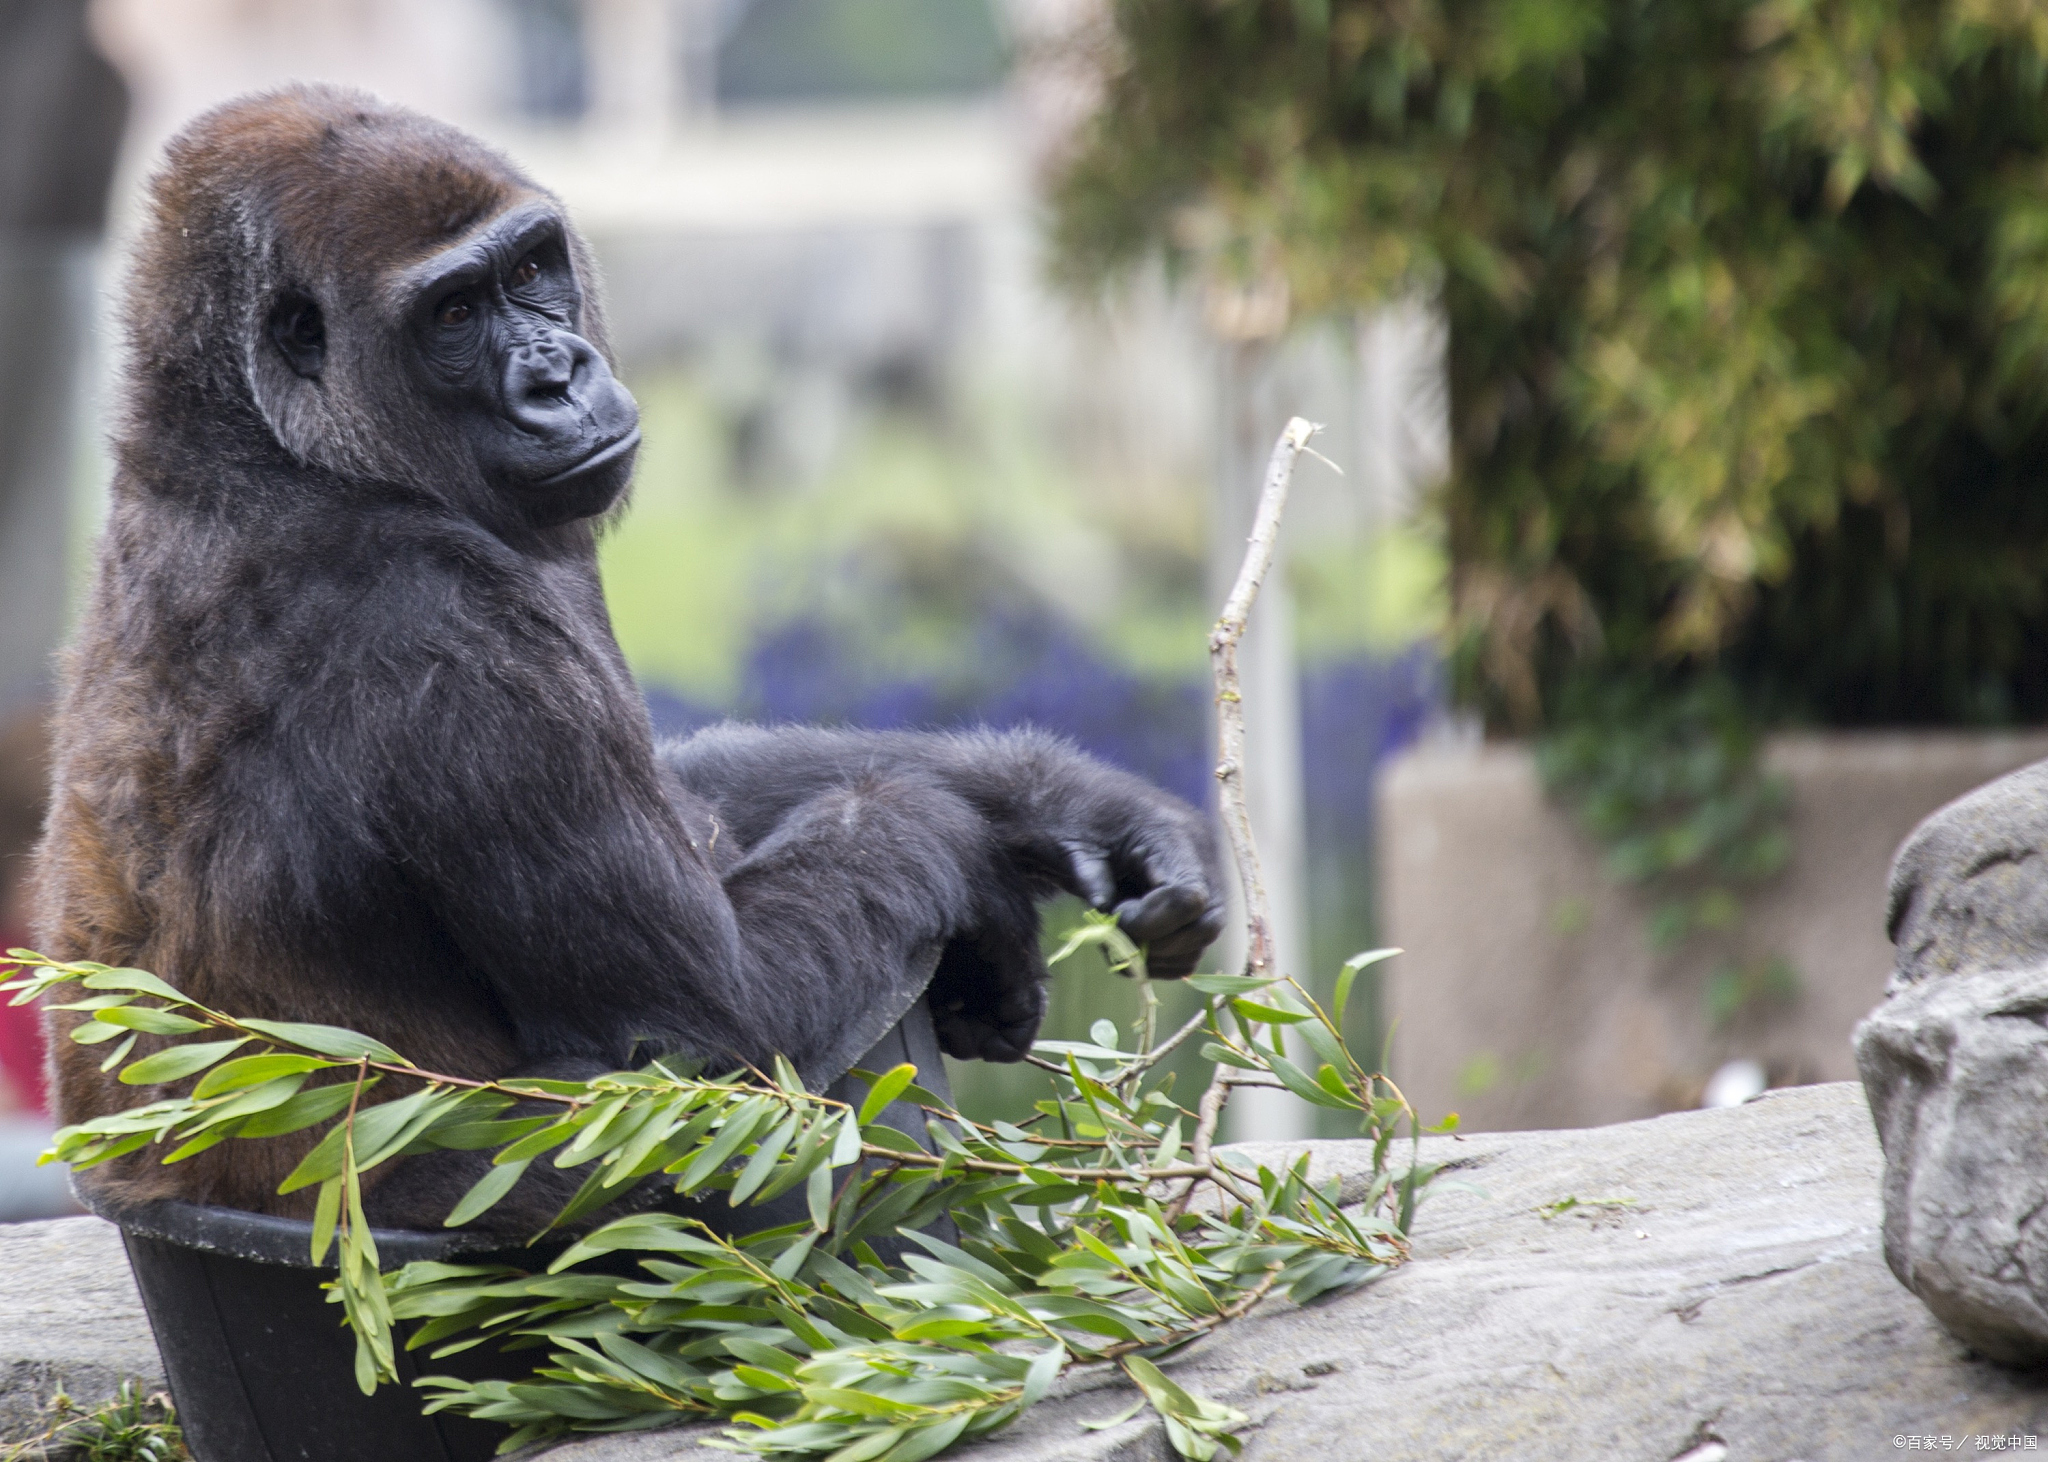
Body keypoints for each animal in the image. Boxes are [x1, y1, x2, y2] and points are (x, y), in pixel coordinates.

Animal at [32, 85, 1220, 1236]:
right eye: (452, 314)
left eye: (529, 269)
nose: (558, 376)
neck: (252, 436)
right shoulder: (436, 619)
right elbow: (711, 1020)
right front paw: (980, 870)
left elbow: (692, 789)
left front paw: (1059, 802)